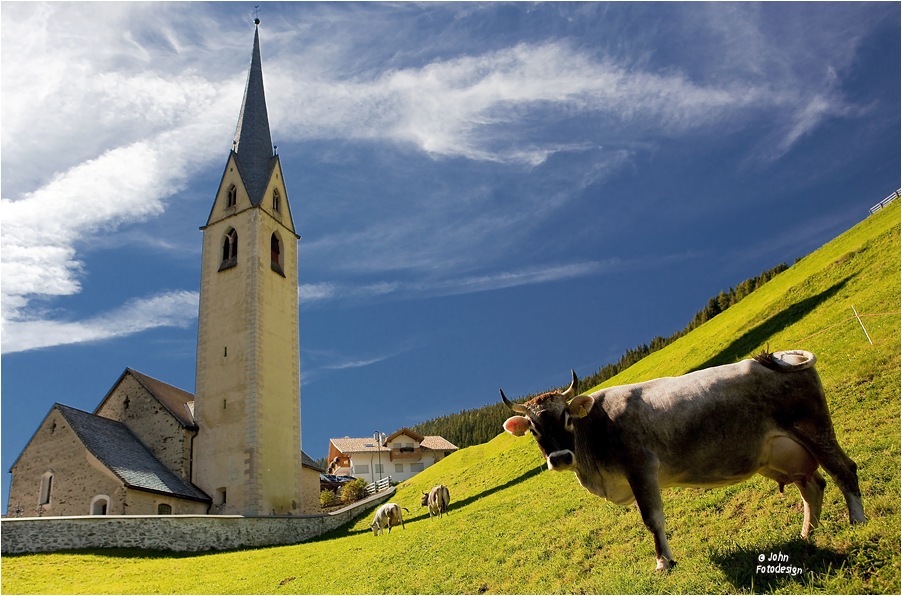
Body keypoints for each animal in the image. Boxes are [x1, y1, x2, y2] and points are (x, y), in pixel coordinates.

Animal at [502, 352, 868, 572]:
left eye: (566, 419)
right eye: (534, 428)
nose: (560, 457)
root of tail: (780, 356)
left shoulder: (640, 468)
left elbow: (652, 519)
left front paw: (664, 562)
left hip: (815, 429)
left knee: (843, 471)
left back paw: (858, 523)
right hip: (785, 452)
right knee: (813, 486)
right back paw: (807, 534)